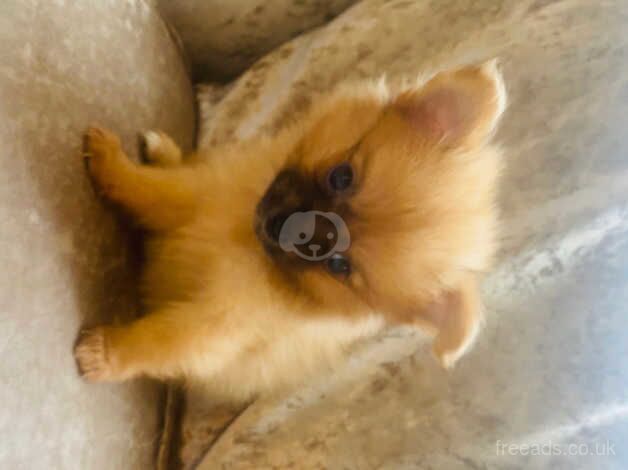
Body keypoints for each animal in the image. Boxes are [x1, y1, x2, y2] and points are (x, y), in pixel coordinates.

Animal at [75, 60, 506, 402]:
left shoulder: (220, 325)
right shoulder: (199, 193)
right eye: (342, 177)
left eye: (338, 265)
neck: (240, 238)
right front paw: (112, 161)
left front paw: (104, 353)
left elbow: (163, 343)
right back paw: (162, 149)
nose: (282, 227)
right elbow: (148, 188)